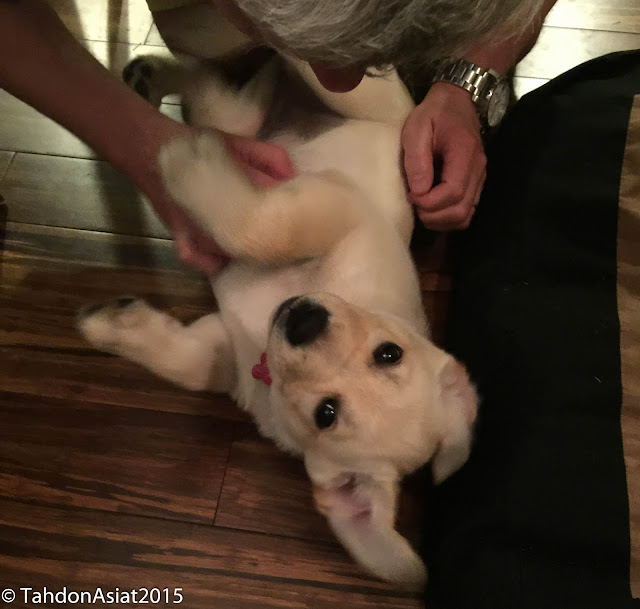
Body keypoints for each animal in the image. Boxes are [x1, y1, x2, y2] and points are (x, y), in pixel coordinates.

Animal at [78, 43, 478, 588]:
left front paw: (110, 322)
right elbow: (272, 231)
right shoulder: (339, 207)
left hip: (265, 116)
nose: (303, 321)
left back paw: (178, 114)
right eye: (388, 353)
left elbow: (188, 360)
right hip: (352, 94)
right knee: (249, 79)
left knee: (223, 98)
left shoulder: (223, 348)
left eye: (326, 414)